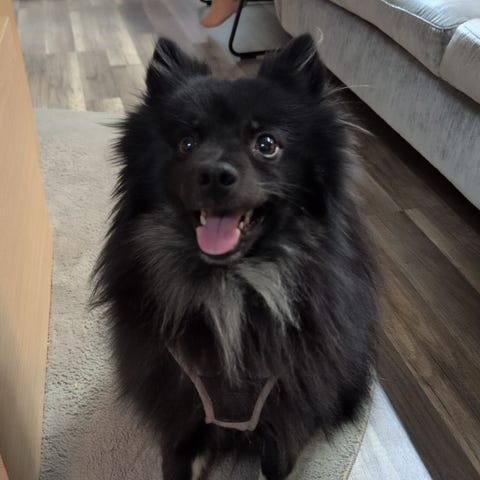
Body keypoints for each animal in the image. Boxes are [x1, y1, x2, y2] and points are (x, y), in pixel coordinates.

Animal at [92, 34, 377, 479]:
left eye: (266, 144)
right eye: (187, 143)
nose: (213, 174)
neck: (231, 289)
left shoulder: (281, 424)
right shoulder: (182, 419)